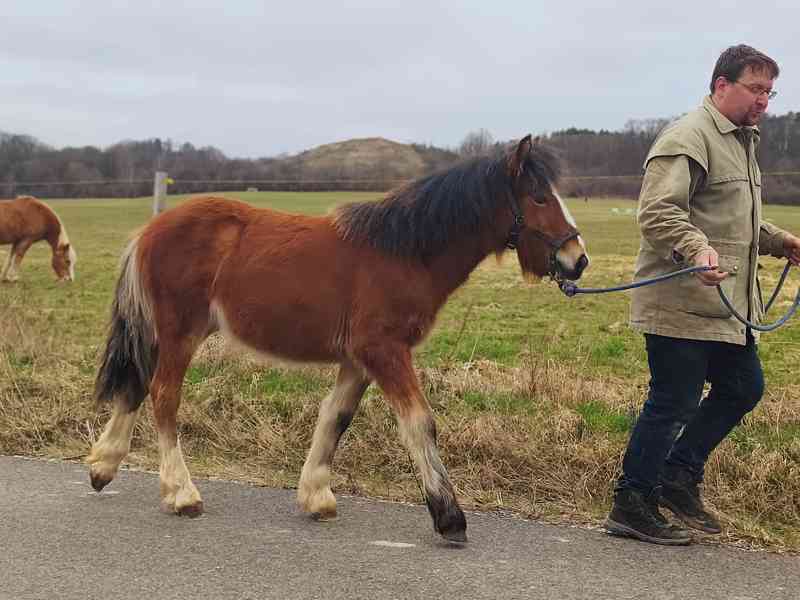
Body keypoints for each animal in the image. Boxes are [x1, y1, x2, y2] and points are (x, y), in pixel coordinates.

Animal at [87, 135, 589, 543]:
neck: (403, 252)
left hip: (163, 334)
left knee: (135, 387)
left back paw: (103, 465)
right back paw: (181, 493)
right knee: (163, 395)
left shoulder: (358, 359)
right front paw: (449, 517)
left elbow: (336, 418)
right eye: (540, 197)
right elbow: (419, 423)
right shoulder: (384, 351)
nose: (577, 259)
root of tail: (148, 230)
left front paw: (316, 496)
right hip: (180, 333)